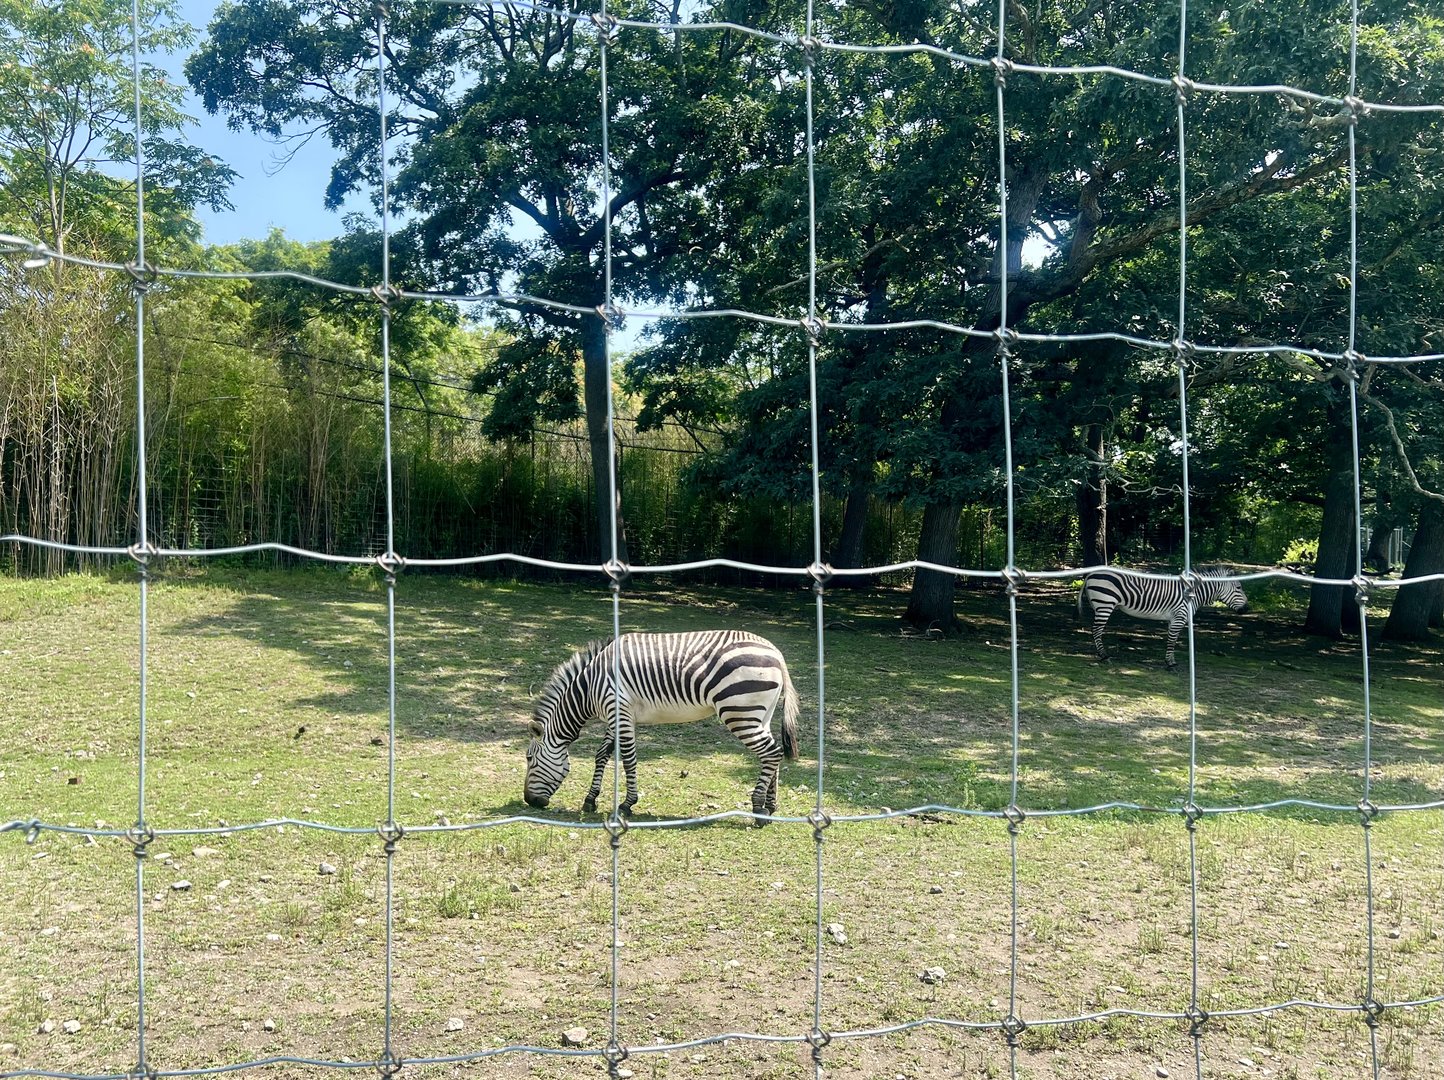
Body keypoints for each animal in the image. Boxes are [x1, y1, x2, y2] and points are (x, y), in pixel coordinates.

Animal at [523, 630, 800, 824]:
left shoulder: (619, 710)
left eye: (529, 759)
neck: (588, 689)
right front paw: (591, 799)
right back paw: (770, 807)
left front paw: (627, 804)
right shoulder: (616, 715)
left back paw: (757, 808)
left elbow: (628, 759)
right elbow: (602, 755)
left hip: (739, 712)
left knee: (771, 752)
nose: (529, 801)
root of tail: (776, 653)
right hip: (760, 713)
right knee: (772, 754)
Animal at [1078, 567, 1248, 670]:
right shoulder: (1179, 617)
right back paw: (1104, 656)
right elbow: (1172, 641)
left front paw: (1169, 661)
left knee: (1095, 630)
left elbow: (1171, 640)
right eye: (1239, 587)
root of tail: (1090, 574)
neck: (1193, 593)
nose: (1247, 609)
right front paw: (1171, 664)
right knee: (1096, 630)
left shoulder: (1172, 620)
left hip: (1099, 605)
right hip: (1105, 604)